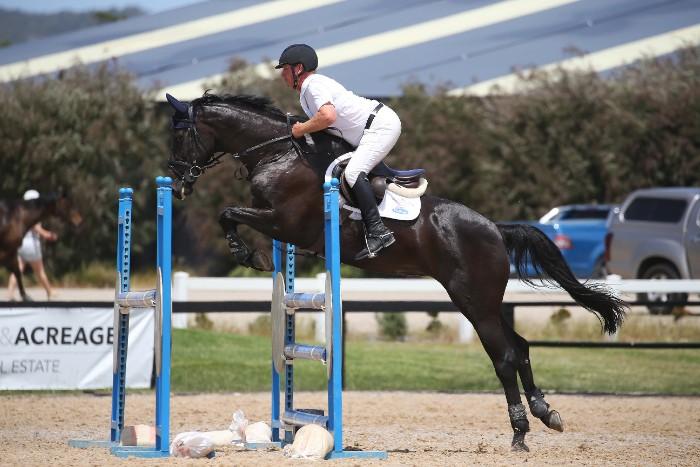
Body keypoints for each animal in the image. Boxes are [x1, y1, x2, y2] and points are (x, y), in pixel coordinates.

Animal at [165, 92, 626, 452]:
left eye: (181, 135)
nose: (178, 182)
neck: (276, 152)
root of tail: (495, 228)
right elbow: (230, 214)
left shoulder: (283, 222)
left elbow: (228, 213)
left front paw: (246, 253)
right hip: (486, 302)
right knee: (521, 347)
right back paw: (546, 413)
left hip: (474, 301)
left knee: (504, 356)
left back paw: (519, 432)